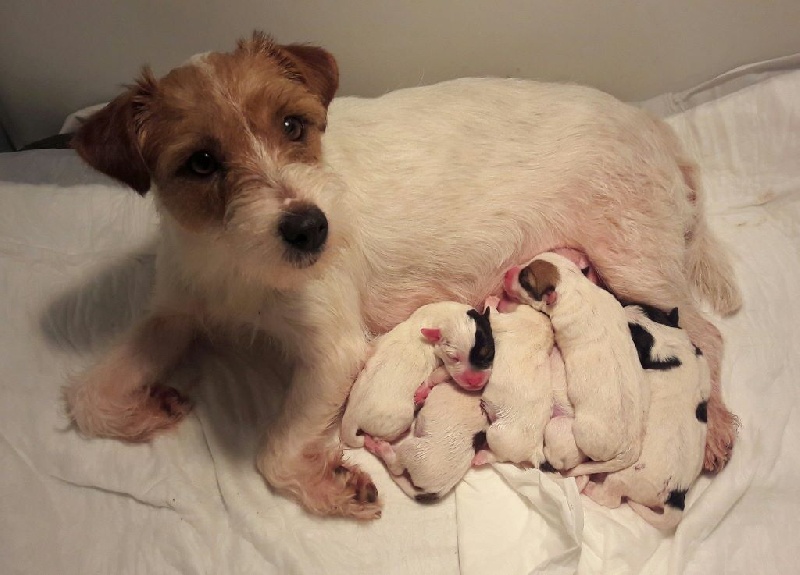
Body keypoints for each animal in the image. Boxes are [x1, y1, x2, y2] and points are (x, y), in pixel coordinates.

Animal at [342, 302, 494, 450]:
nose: (475, 382)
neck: (443, 316)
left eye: (487, 353)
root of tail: (352, 417)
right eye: (453, 357)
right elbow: (441, 373)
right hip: (397, 420)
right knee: (380, 437)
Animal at [476, 306, 556, 468]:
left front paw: (492, 302)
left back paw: (480, 456)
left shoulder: (507, 321)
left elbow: (494, 314)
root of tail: (535, 450)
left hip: (497, 434)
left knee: (497, 456)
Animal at [580, 306, 712, 532]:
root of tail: (675, 497)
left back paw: (589, 487)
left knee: (611, 498)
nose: (623, 306)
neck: (671, 344)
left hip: (622, 478)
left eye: (629, 332)